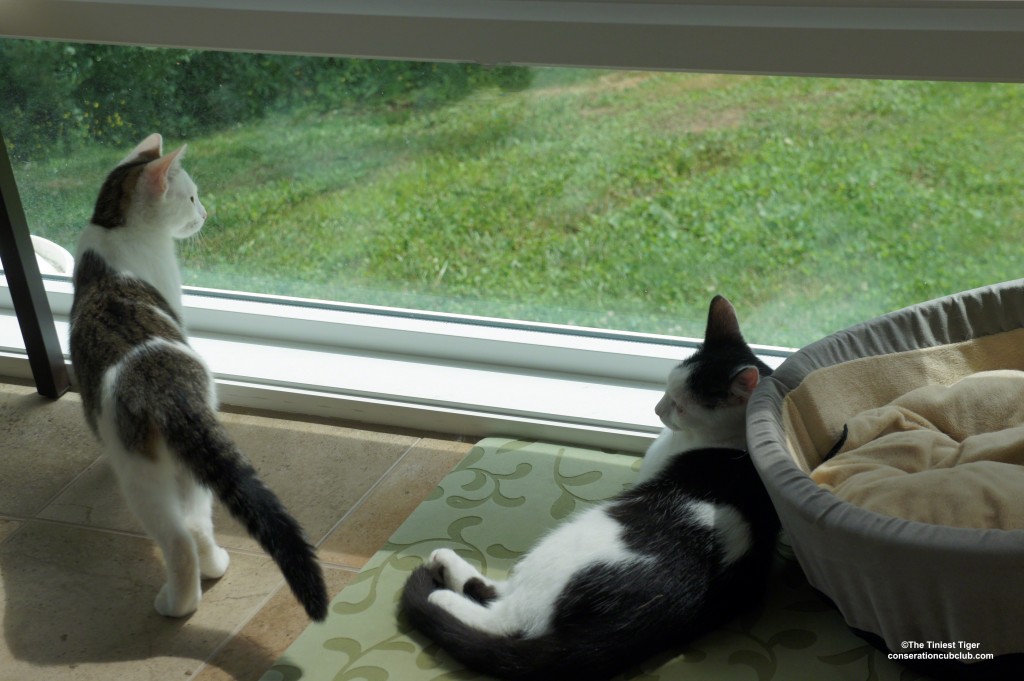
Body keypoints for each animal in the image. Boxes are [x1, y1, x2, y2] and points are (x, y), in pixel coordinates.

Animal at [70, 134, 325, 622]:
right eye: (190, 197)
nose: (205, 213)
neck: (112, 223)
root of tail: (166, 389)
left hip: (152, 470)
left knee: (183, 531)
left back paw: (191, 590)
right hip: (164, 470)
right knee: (186, 531)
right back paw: (195, 588)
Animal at [399, 296, 774, 679]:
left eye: (681, 406)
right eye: (666, 387)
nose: (657, 409)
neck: (734, 442)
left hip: (566, 545)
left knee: (509, 618)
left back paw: (441, 587)